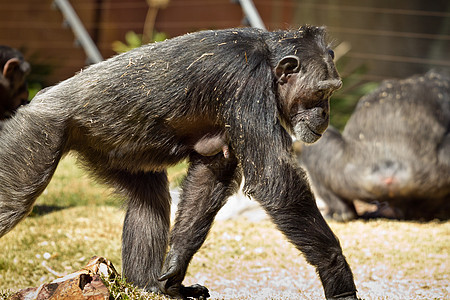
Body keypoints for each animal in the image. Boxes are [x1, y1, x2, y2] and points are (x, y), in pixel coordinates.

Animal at [0, 26, 358, 300]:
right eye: (321, 92)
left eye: (332, 92)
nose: (325, 114)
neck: (269, 64)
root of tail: (39, 99)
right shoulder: (249, 87)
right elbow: (277, 182)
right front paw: (337, 275)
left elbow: (211, 173)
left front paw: (174, 271)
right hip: (38, 132)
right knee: (13, 202)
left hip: (111, 151)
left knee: (150, 199)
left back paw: (146, 286)